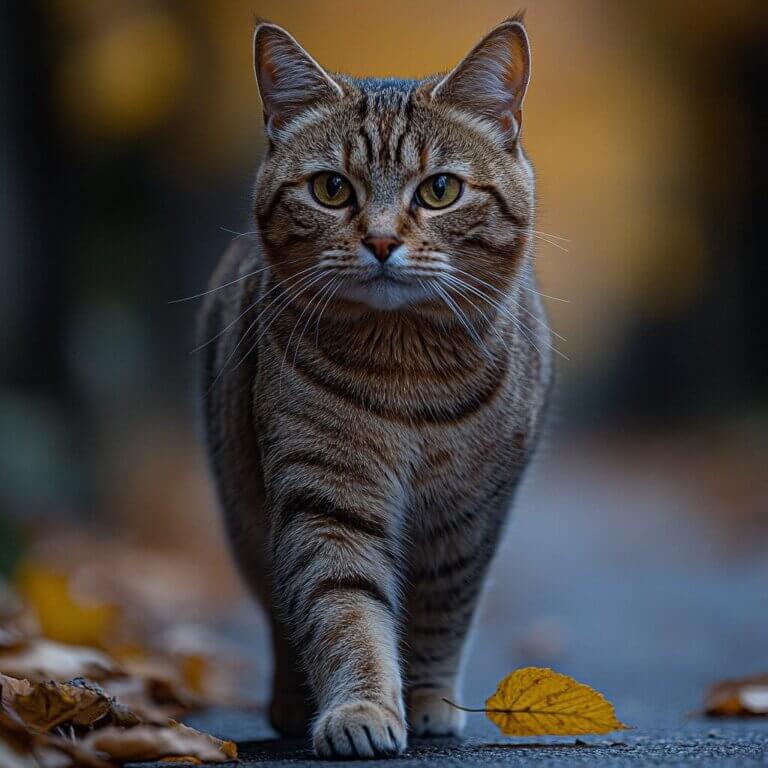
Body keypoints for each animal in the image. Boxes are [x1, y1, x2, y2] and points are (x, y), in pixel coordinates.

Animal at [201, 15, 552, 760]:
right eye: (332, 189)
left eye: (440, 190)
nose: (384, 240)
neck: (405, 369)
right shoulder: (326, 496)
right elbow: (345, 609)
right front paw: (359, 707)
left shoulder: (468, 516)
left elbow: (441, 613)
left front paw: (427, 700)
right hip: (246, 509)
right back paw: (292, 703)